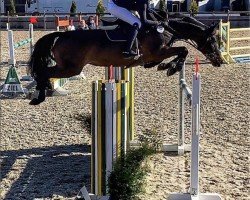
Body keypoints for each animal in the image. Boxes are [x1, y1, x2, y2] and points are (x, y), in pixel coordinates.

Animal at [28, 11, 223, 105]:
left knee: (43, 71)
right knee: (43, 71)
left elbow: (179, 52)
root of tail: (61, 35)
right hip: (71, 68)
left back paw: (42, 91)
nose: (220, 61)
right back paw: (40, 96)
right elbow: (183, 50)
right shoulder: (158, 51)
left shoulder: (158, 53)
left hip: (68, 67)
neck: (165, 29)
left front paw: (163, 66)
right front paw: (171, 67)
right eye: (213, 40)